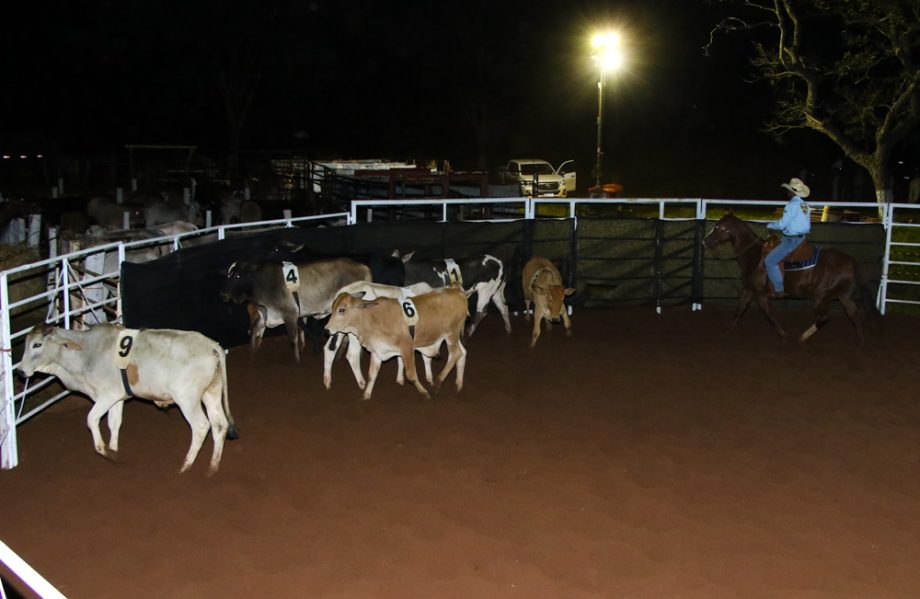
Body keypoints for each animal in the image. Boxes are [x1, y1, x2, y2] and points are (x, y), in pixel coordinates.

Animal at [16, 326, 239, 476]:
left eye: (37, 344)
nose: (19, 371)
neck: (86, 353)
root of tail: (212, 346)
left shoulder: (107, 394)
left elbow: (91, 418)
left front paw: (103, 450)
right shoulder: (117, 397)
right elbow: (114, 423)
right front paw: (114, 451)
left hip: (187, 398)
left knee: (201, 426)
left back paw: (185, 466)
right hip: (211, 392)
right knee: (219, 425)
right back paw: (212, 468)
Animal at [220, 256, 370, 360]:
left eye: (237, 275)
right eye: (228, 275)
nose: (223, 294)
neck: (260, 284)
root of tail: (362, 266)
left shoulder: (289, 313)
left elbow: (293, 338)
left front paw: (297, 361)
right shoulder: (265, 314)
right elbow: (255, 330)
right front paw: (252, 354)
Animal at [324, 284, 468, 400]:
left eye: (342, 309)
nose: (326, 330)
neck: (372, 318)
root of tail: (456, 290)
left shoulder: (407, 348)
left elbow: (411, 375)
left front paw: (424, 393)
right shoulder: (377, 351)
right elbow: (372, 375)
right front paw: (366, 395)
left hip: (451, 334)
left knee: (455, 354)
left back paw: (438, 384)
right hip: (454, 336)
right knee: (462, 353)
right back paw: (458, 384)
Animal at [704, 213, 876, 344]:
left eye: (718, 227)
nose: (705, 241)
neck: (754, 256)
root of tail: (851, 261)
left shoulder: (761, 295)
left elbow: (770, 316)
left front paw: (784, 335)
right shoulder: (749, 290)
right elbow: (739, 310)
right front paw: (727, 332)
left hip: (822, 297)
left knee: (823, 319)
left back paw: (802, 337)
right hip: (845, 296)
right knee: (854, 316)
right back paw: (861, 343)